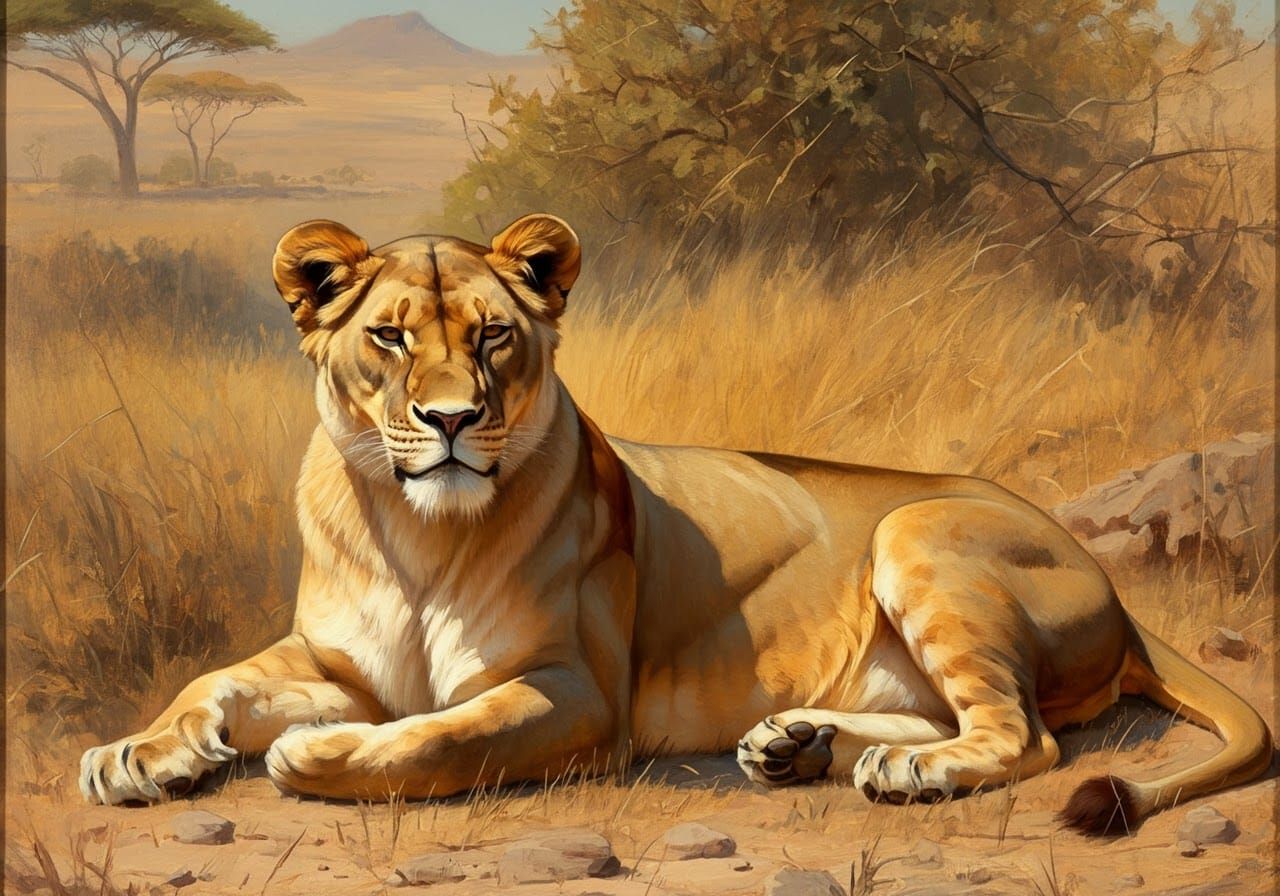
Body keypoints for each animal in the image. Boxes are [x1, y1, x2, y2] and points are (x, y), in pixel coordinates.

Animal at [80, 214, 1271, 835]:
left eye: (494, 336)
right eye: (389, 337)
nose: (452, 419)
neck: (415, 531)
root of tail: (1112, 585)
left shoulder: (576, 692)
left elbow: (441, 735)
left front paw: (312, 752)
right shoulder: (336, 661)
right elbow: (217, 679)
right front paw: (138, 752)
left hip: (917, 530)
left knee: (1025, 735)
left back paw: (898, 771)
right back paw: (798, 744)